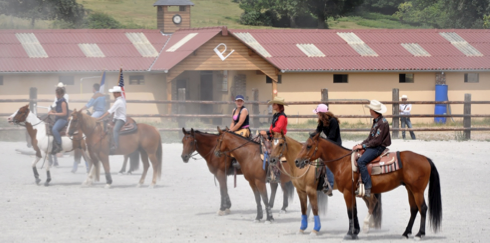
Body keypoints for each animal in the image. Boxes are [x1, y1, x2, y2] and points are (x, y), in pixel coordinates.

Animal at [294, 134, 444, 240]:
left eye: (308, 146)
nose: (297, 161)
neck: (343, 163)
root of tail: (425, 159)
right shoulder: (352, 193)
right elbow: (354, 211)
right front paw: (355, 232)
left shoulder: (347, 193)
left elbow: (350, 212)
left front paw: (349, 233)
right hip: (410, 189)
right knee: (414, 209)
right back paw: (406, 232)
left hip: (418, 190)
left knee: (423, 208)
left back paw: (419, 234)